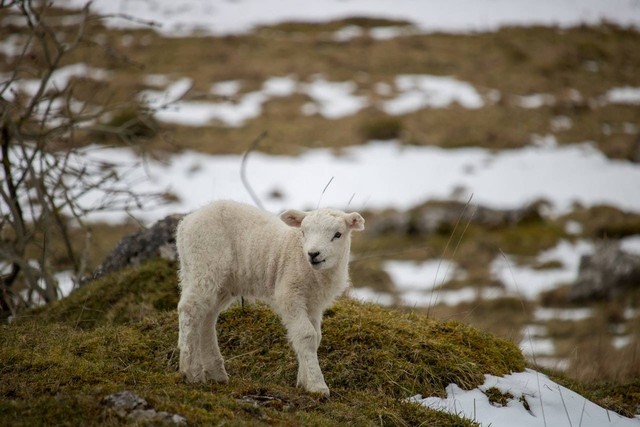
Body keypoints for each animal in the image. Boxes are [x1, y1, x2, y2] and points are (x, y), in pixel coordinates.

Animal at [175, 199, 364, 396]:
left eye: (337, 234)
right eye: (303, 232)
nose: (313, 254)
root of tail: (186, 223)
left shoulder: (313, 303)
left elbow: (316, 337)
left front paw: (302, 381)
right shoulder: (289, 294)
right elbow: (307, 336)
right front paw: (317, 385)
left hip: (221, 282)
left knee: (207, 317)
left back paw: (215, 373)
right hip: (205, 262)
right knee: (189, 309)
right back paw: (191, 372)